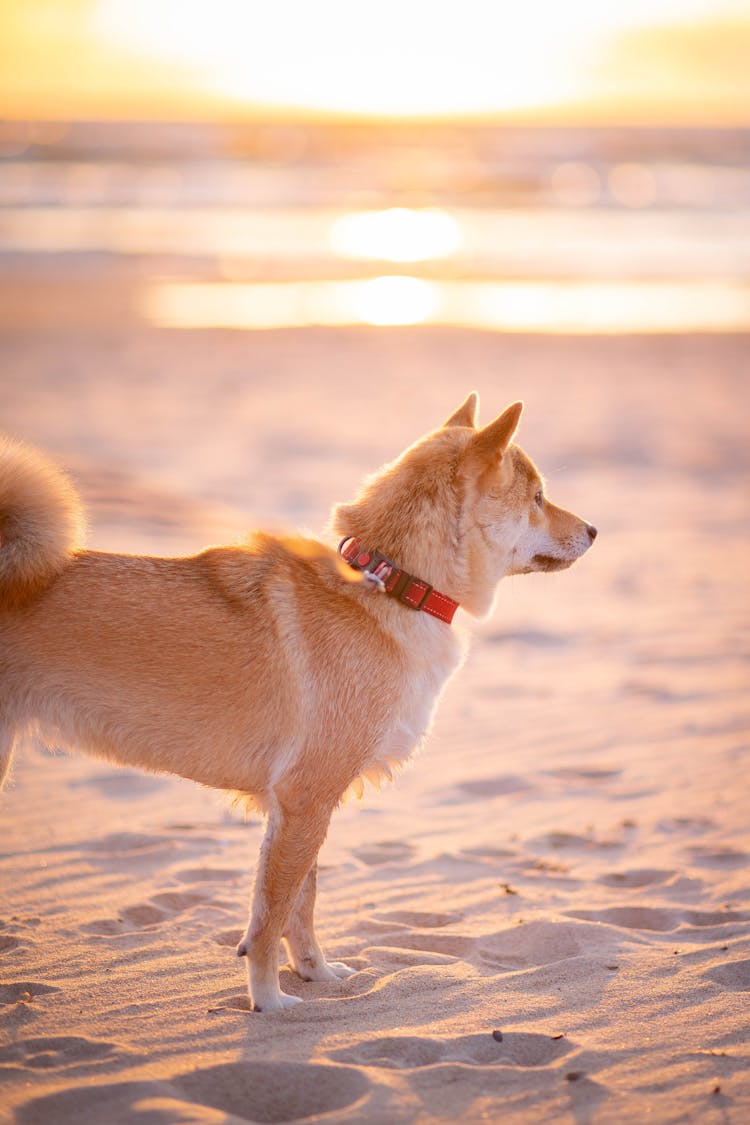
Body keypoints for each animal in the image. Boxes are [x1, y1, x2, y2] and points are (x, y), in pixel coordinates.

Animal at [0, 396, 598, 1012]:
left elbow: (297, 908)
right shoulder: (306, 798)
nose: (595, 530)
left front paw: (316, 973)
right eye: (537, 498)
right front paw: (269, 1001)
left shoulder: (300, 807)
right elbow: (271, 917)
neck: (392, 583)